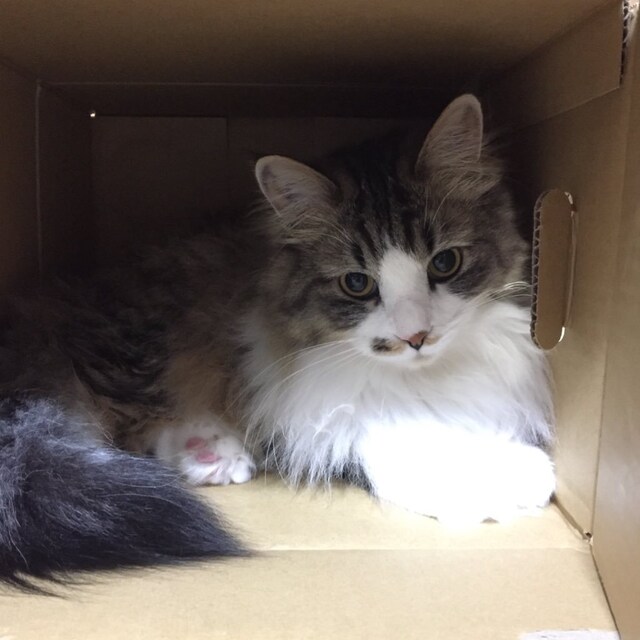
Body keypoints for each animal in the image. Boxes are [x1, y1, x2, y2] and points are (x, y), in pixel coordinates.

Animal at [0, 94, 555, 590]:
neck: (424, 377)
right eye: (357, 283)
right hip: (140, 349)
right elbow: (395, 442)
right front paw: (516, 477)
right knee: (120, 425)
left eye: (444, 263)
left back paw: (209, 452)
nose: (415, 336)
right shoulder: (314, 409)